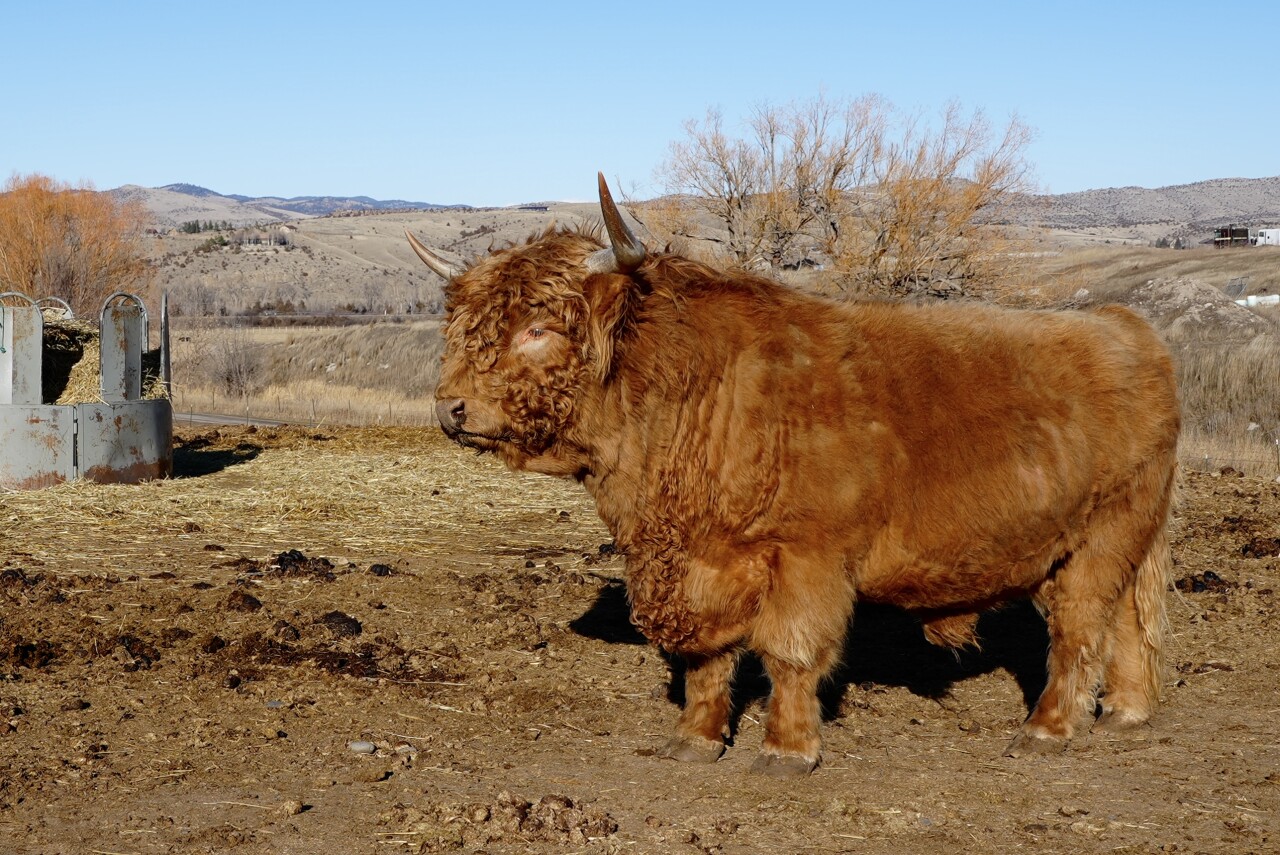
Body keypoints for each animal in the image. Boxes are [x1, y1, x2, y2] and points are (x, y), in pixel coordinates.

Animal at [408, 173, 1180, 777]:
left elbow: (791, 652)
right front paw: (695, 739)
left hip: (1107, 532)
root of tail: (1124, 325)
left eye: (539, 328)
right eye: (465, 327)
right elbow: (708, 657)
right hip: (1104, 541)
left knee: (1080, 629)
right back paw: (1127, 713)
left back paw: (1047, 730)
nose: (451, 406)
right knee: (1125, 620)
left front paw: (785, 749)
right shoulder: (698, 561)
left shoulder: (809, 555)